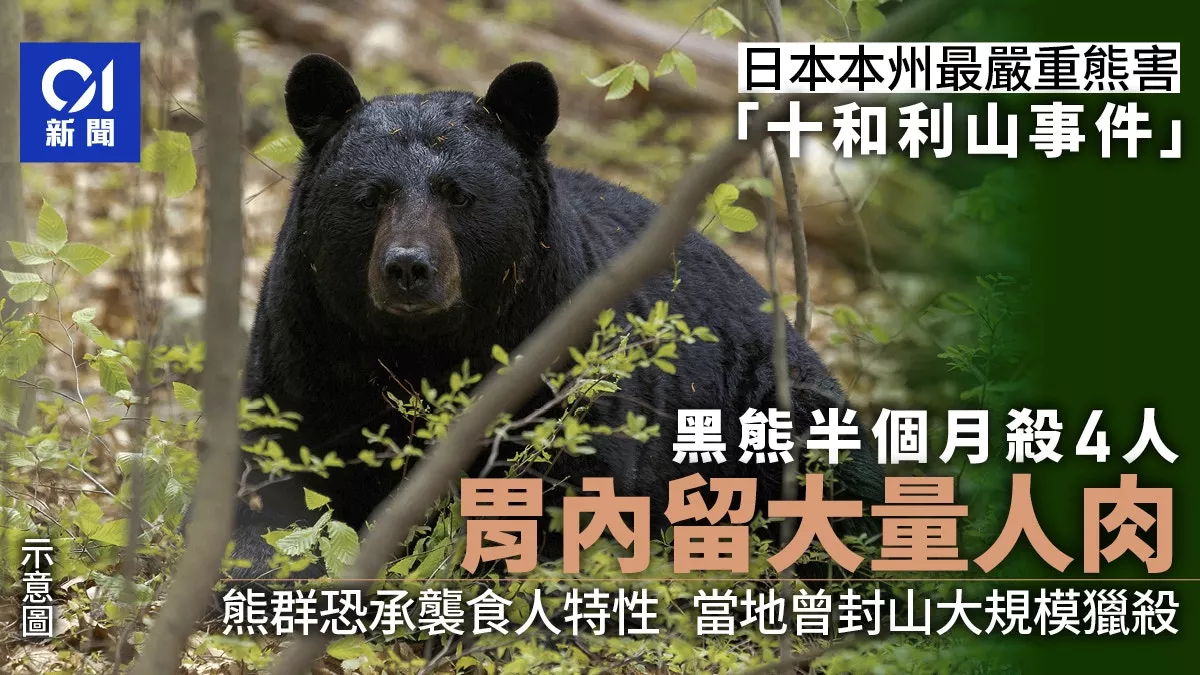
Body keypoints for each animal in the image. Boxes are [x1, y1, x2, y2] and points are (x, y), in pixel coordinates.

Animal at [228, 54, 885, 582]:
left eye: (458, 193)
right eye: (371, 195)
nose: (408, 267)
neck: (427, 348)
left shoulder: (561, 358)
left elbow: (571, 486)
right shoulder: (307, 349)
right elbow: (275, 478)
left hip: (770, 403)